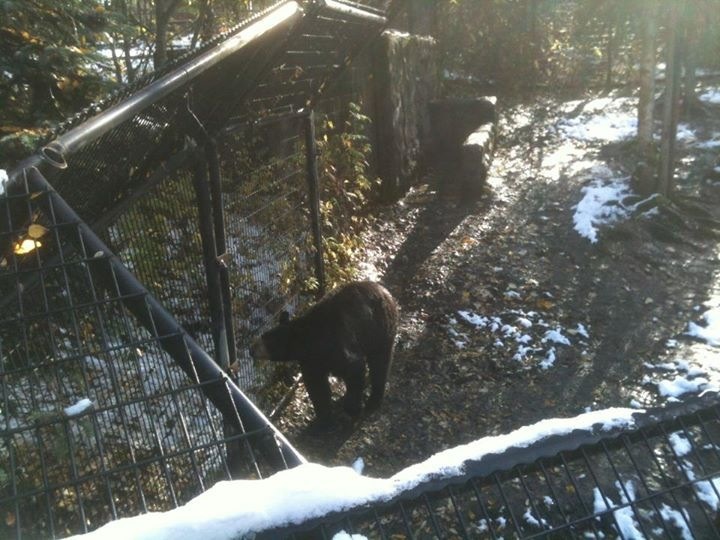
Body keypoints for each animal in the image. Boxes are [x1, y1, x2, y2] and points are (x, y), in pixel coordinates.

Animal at [251, 281, 398, 429]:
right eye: (264, 335)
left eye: (268, 340)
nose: (251, 349)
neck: (309, 341)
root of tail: (384, 290)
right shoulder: (311, 361)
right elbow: (317, 386)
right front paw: (323, 421)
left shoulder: (337, 345)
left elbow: (353, 367)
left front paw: (352, 409)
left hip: (380, 328)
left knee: (380, 362)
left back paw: (373, 400)